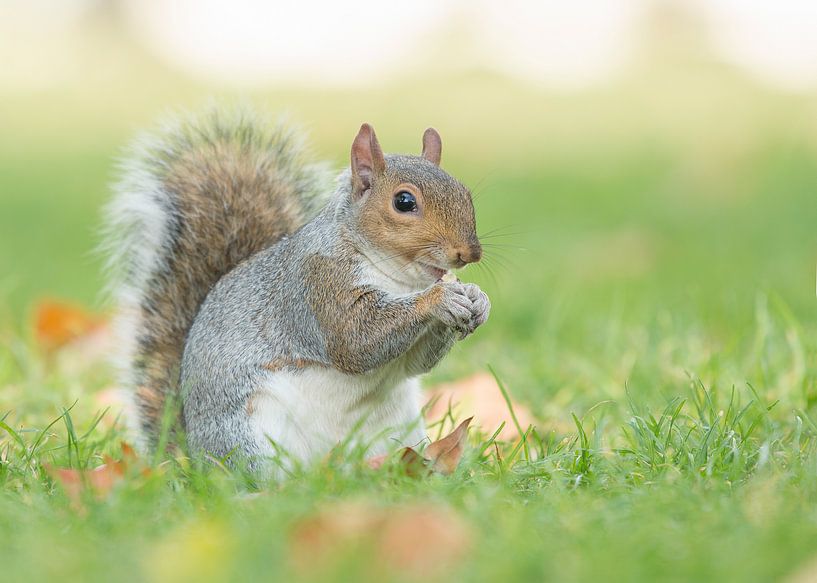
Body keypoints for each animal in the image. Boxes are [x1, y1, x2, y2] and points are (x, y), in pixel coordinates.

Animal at [104, 108, 490, 472]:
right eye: (404, 202)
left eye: (466, 193)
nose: (469, 253)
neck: (399, 279)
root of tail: (195, 458)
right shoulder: (316, 284)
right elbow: (354, 340)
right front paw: (440, 299)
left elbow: (415, 364)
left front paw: (477, 299)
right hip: (249, 438)